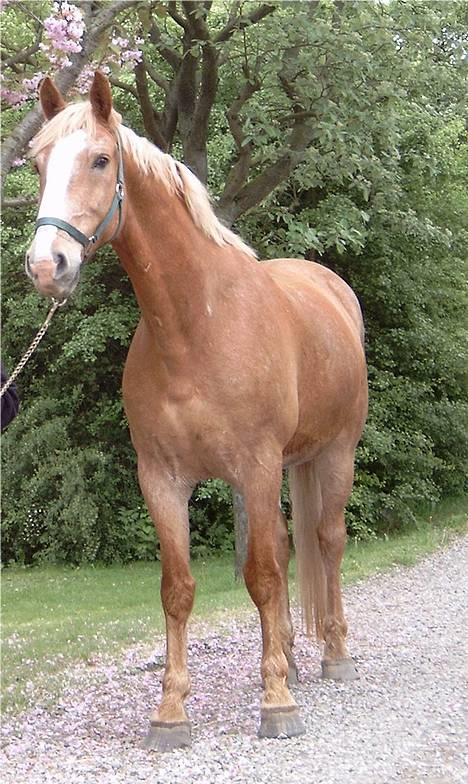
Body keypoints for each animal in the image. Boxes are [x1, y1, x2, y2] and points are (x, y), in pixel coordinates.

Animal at [25, 75, 368, 752]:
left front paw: (277, 704)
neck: (196, 325)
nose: (48, 266)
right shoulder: (162, 479)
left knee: (326, 542)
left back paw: (334, 656)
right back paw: (289, 654)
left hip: (334, 454)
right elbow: (179, 590)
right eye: (38, 164)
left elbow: (262, 576)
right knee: (288, 545)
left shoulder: (256, 466)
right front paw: (171, 711)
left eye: (100, 160)